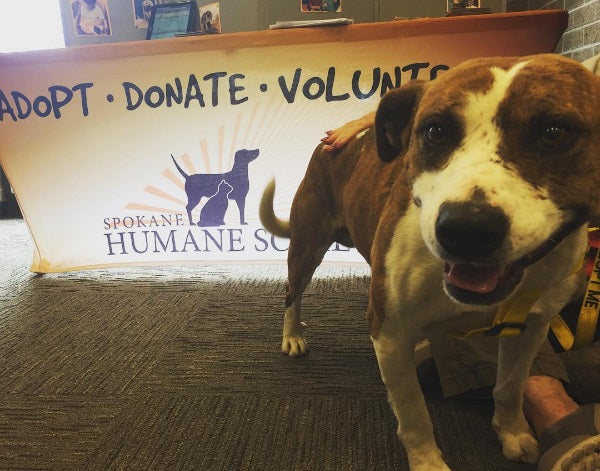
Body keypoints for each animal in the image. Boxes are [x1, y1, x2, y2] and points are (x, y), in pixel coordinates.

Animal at [260, 53, 600, 470]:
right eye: (436, 131)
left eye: (554, 132)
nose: (467, 228)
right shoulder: (389, 334)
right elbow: (414, 414)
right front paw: (427, 461)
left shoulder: (531, 327)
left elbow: (510, 387)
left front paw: (513, 433)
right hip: (308, 245)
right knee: (292, 291)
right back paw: (293, 335)